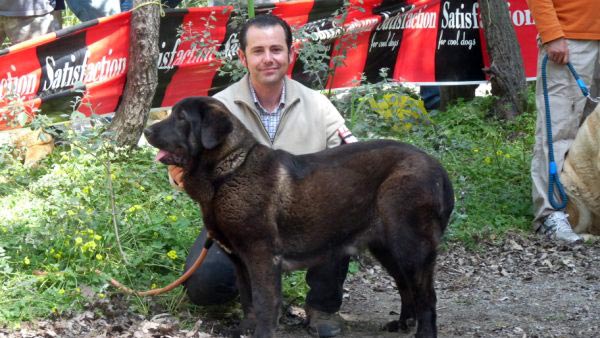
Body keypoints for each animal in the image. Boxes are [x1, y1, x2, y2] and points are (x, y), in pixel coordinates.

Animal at [144, 96, 454, 336]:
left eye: (181, 118)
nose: (146, 131)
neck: (228, 172)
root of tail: (437, 167)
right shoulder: (241, 262)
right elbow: (248, 301)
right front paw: (246, 329)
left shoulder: (261, 257)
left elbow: (264, 303)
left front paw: (262, 334)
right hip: (387, 247)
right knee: (405, 286)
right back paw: (402, 323)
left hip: (410, 247)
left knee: (427, 297)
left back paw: (423, 333)